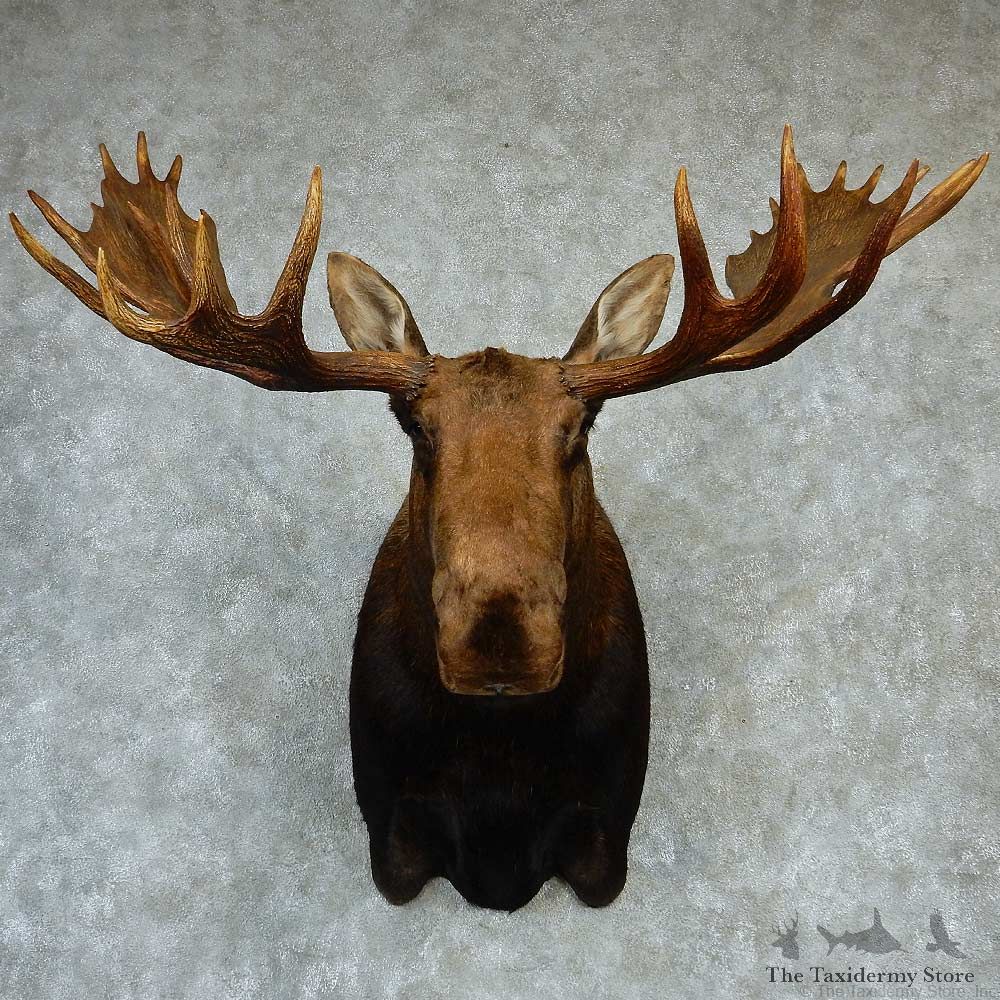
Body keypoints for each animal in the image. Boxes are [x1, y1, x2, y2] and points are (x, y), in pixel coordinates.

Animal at [10, 128, 986, 912]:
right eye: (416, 428)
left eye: (579, 428)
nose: (500, 637)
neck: (499, 779)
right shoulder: (392, 831)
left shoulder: (605, 835)